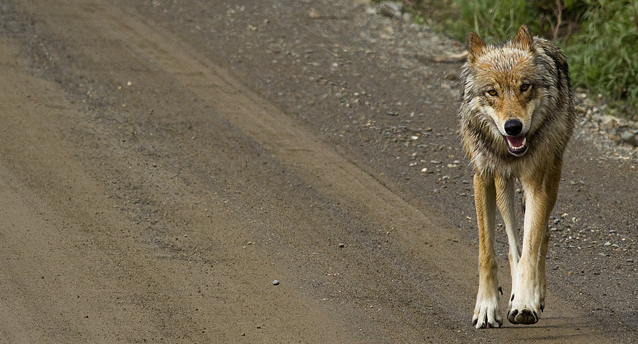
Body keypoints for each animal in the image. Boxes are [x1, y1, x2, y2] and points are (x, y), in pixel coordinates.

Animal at [458, 25, 576, 330]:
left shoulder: (536, 184)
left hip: (552, 178)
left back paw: (534, 295)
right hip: (503, 186)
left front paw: (524, 302)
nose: (513, 127)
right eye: (492, 92)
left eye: (525, 87)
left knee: (541, 237)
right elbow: (488, 252)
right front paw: (487, 307)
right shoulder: (482, 178)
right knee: (513, 245)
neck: (509, 152)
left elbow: (531, 246)